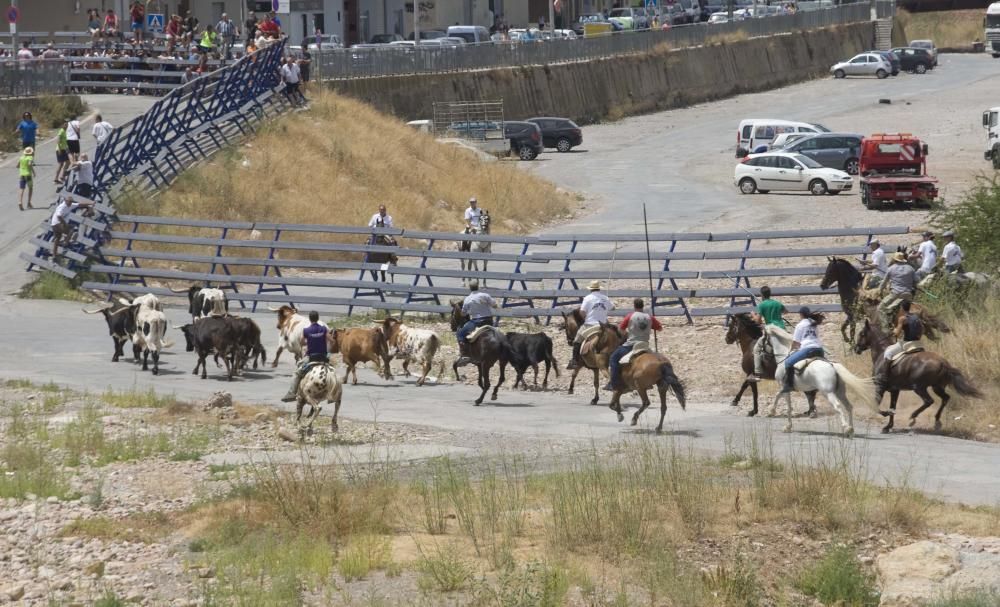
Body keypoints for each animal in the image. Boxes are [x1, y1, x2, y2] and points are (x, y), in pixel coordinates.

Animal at [852, 318, 984, 432]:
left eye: (862, 333)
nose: (856, 349)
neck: (881, 352)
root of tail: (944, 363)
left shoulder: (880, 387)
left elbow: (876, 405)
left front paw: (886, 416)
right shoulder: (895, 390)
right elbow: (893, 406)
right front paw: (888, 427)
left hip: (919, 387)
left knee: (928, 401)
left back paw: (913, 417)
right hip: (937, 387)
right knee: (945, 398)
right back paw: (936, 422)